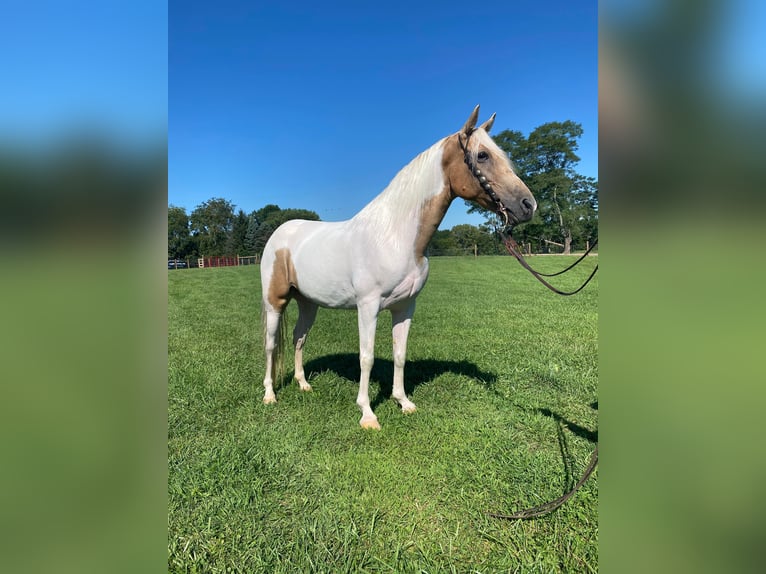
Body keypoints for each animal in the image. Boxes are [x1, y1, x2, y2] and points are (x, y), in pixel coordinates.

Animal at [260, 107, 536, 432]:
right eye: (482, 155)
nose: (528, 205)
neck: (395, 235)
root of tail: (280, 233)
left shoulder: (405, 307)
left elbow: (400, 353)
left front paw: (403, 402)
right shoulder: (367, 307)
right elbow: (366, 357)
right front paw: (367, 414)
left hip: (308, 303)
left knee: (299, 338)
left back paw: (303, 384)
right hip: (275, 302)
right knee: (270, 344)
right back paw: (269, 395)